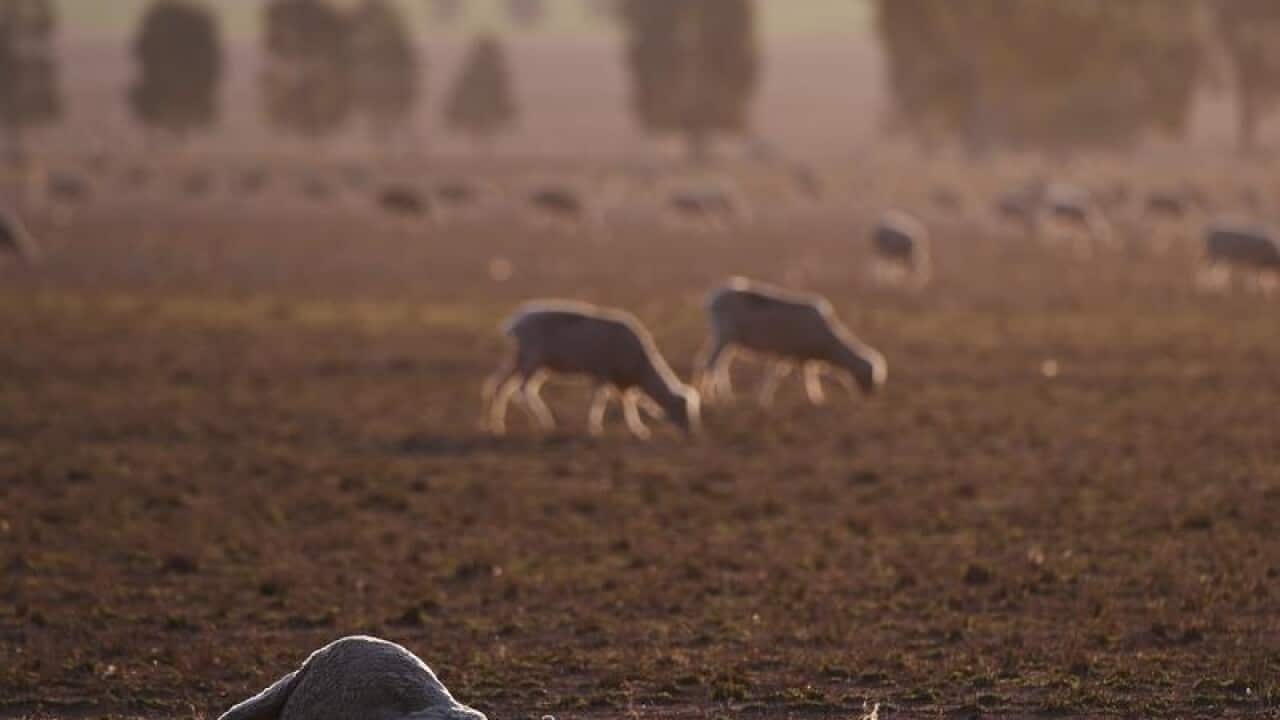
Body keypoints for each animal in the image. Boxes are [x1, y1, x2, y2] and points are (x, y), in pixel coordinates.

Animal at [483, 300, 700, 439]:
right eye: (682, 410)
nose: (692, 433)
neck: (641, 368)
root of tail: (516, 322)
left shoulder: (618, 381)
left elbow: (626, 402)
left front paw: (636, 429)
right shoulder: (604, 372)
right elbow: (601, 400)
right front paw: (598, 429)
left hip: (523, 360)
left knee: (501, 386)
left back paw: (497, 426)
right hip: (532, 359)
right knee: (522, 389)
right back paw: (543, 421)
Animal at [697, 277, 886, 407]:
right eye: (870, 379)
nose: (868, 399)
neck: (830, 346)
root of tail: (713, 298)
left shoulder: (797, 356)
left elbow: (799, 376)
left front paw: (813, 398)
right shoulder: (789, 353)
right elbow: (783, 377)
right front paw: (815, 399)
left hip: (729, 341)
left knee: (718, 364)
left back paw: (722, 396)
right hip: (724, 335)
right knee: (710, 363)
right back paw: (711, 397)